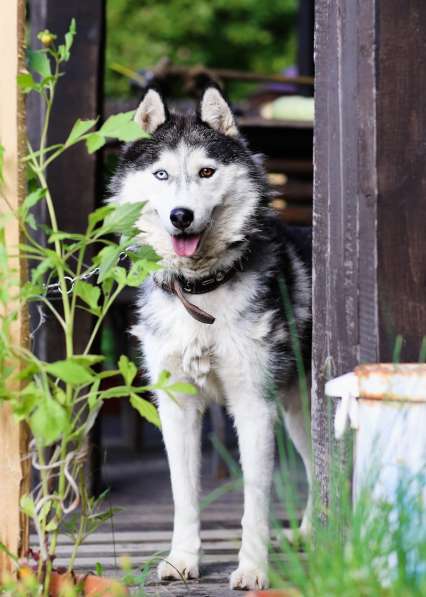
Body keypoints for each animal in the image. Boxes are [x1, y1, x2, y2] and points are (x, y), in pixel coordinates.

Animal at [111, 86, 312, 588]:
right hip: (296, 413)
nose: (181, 216)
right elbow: (183, 494)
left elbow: (255, 499)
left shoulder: (254, 405)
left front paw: (253, 568)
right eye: (161, 174)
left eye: (206, 171)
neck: (201, 290)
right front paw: (183, 559)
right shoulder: (177, 406)